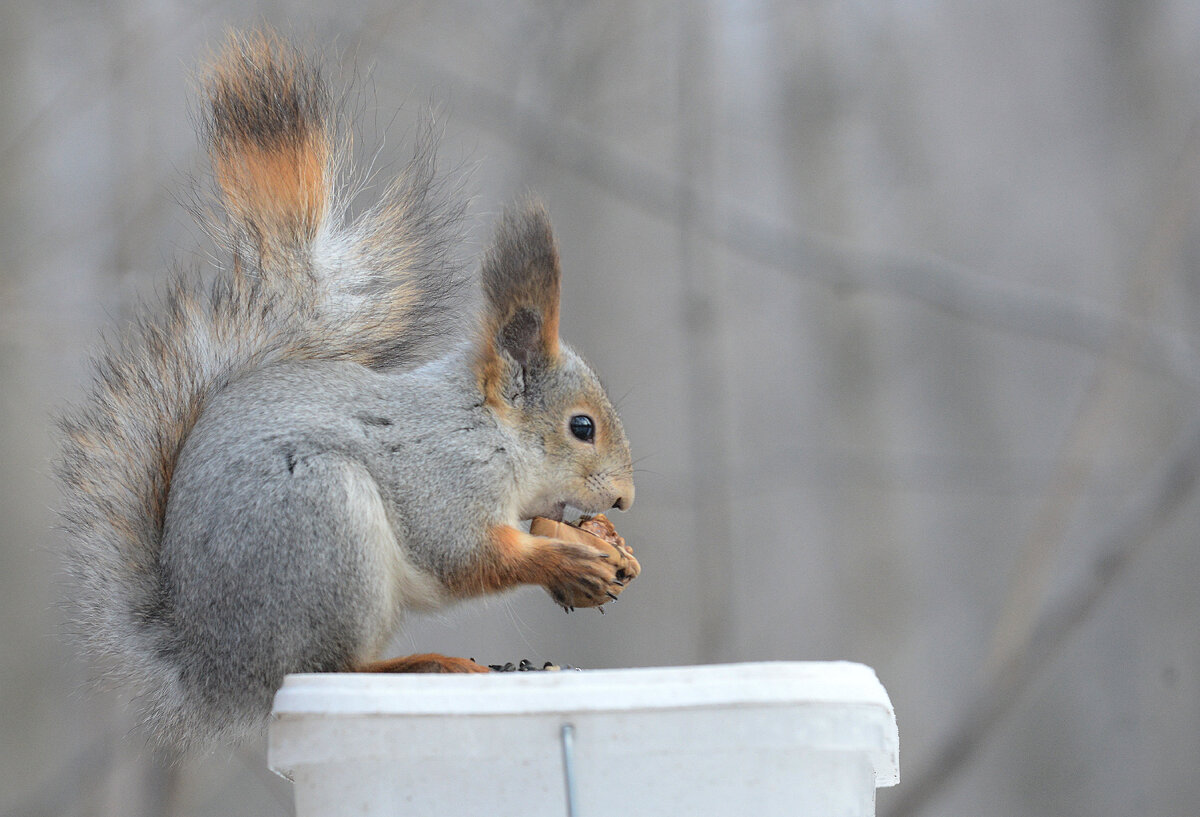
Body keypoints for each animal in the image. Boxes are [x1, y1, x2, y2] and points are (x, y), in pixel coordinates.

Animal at [56, 28, 638, 748]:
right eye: (581, 426)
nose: (624, 498)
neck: (484, 428)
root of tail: (216, 668)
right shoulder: (443, 480)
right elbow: (468, 557)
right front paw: (565, 564)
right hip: (328, 533)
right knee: (331, 665)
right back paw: (427, 664)